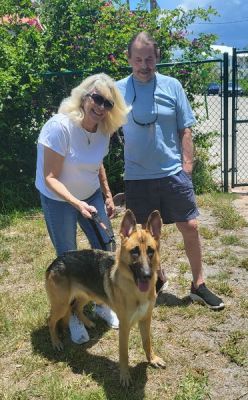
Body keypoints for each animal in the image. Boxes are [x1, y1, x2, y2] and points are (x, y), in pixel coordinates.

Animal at [45, 209, 165, 388]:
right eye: (134, 251)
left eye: (150, 251)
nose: (147, 275)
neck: (136, 291)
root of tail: (55, 261)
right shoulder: (125, 327)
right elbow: (124, 354)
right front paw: (125, 376)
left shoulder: (145, 319)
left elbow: (147, 342)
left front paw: (152, 359)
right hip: (61, 304)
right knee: (52, 321)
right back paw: (55, 342)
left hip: (85, 295)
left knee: (76, 308)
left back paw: (88, 323)